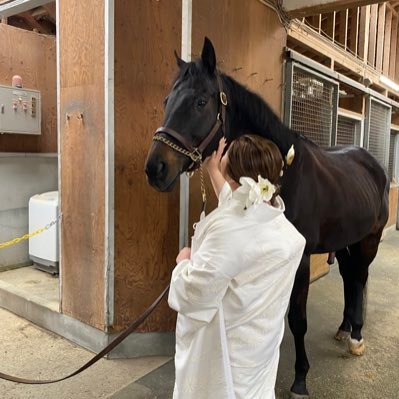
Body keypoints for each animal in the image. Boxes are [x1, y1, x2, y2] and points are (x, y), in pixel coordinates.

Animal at [145, 38, 390, 399]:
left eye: (201, 102)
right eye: (166, 101)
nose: (155, 169)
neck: (283, 173)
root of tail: (372, 163)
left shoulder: (302, 258)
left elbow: (298, 320)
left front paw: (300, 380)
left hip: (369, 240)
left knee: (359, 279)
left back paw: (357, 337)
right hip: (347, 241)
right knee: (350, 278)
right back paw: (345, 329)